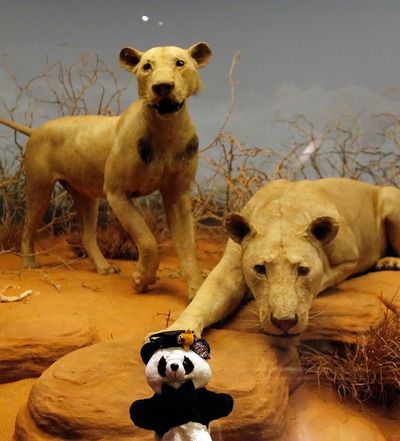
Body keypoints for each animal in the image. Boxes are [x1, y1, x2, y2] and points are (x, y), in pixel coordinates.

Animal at [0, 42, 212, 298]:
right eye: (146, 67)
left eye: (180, 63)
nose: (162, 86)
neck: (166, 130)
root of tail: (35, 130)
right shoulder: (116, 192)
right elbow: (147, 239)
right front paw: (142, 279)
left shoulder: (177, 195)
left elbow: (187, 245)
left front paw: (197, 291)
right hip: (39, 189)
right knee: (28, 226)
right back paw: (30, 263)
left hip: (86, 196)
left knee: (87, 235)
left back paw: (104, 268)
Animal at [169, 178, 400, 343]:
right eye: (260, 268)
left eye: (303, 271)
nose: (284, 323)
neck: (282, 216)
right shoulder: (231, 265)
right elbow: (205, 299)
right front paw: (176, 332)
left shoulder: (349, 258)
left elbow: (323, 278)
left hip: (390, 199)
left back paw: (389, 262)